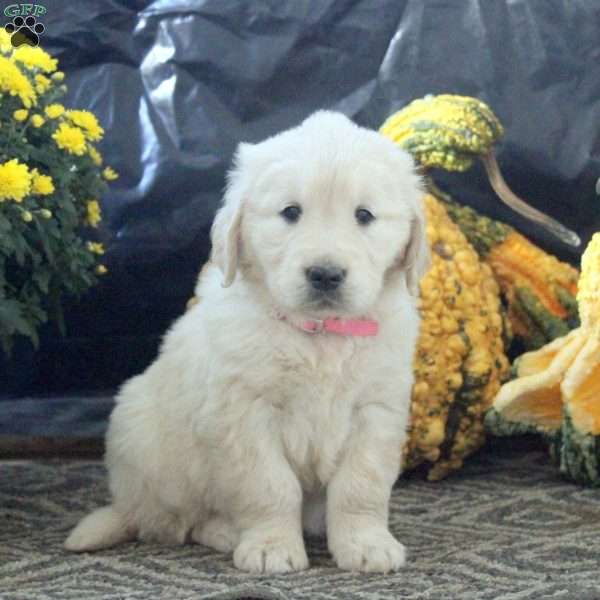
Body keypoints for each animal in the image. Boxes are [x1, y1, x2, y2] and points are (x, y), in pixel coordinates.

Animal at [65, 110, 428, 576]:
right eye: (290, 212)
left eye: (364, 215)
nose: (325, 274)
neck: (319, 336)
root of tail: (126, 505)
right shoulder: (244, 412)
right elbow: (269, 485)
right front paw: (271, 547)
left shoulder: (376, 409)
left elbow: (360, 484)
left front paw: (367, 544)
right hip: (142, 433)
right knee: (175, 523)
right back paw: (223, 531)